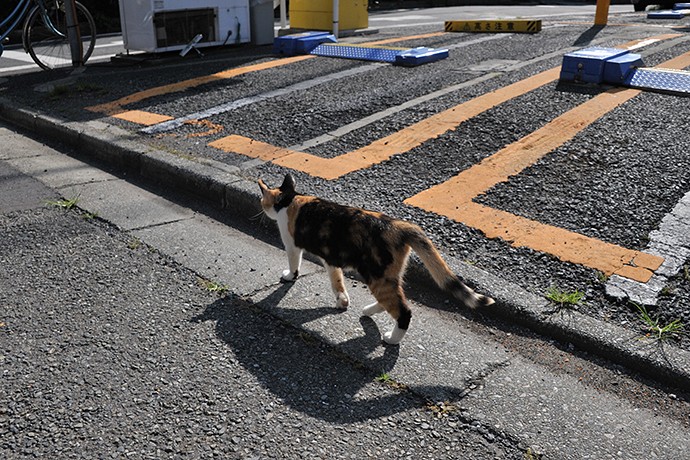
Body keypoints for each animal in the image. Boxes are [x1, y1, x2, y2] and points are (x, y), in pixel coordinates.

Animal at [255, 174, 492, 344]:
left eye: (261, 200)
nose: (261, 208)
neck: (289, 199)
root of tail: (401, 225)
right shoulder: (332, 258)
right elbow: (336, 280)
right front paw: (342, 300)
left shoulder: (292, 245)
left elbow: (294, 262)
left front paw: (289, 276)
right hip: (388, 276)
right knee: (394, 299)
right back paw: (369, 310)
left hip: (378, 275)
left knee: (404, 311)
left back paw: (392, 338)